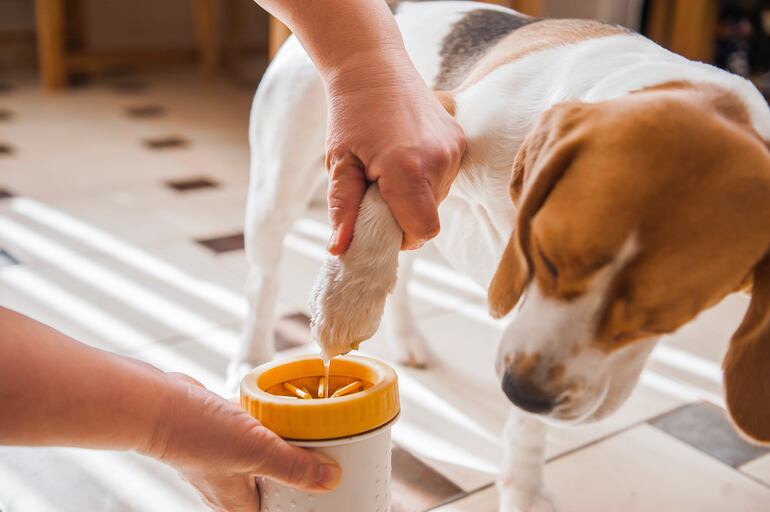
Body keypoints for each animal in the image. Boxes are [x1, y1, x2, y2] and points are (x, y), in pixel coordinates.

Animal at [234, 2, 768, 510]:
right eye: (546, 258)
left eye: (668, 317)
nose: (523, 391)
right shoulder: (428, 126)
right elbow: (386, 192)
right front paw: (346, 301)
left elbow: (528, 424)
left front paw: (524, 488)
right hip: (276, 193)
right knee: (263, 282)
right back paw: (249, 358)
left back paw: (409, 341)